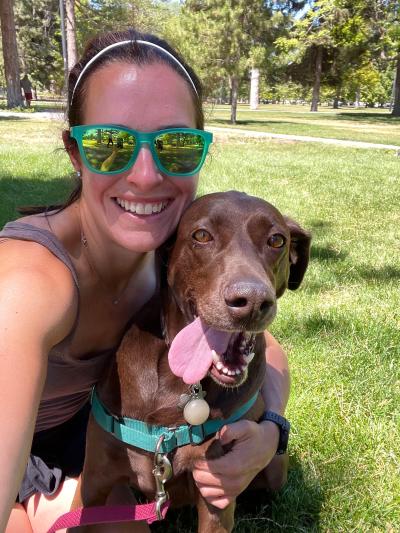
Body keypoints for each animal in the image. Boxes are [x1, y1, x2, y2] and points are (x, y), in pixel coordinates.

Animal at [76, 192, 312, 532]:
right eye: (201, 235)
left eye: (277, 240)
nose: (252, 302)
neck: (184, 387)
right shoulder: (94, 485)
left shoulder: (216, 493)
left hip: (276, 466)